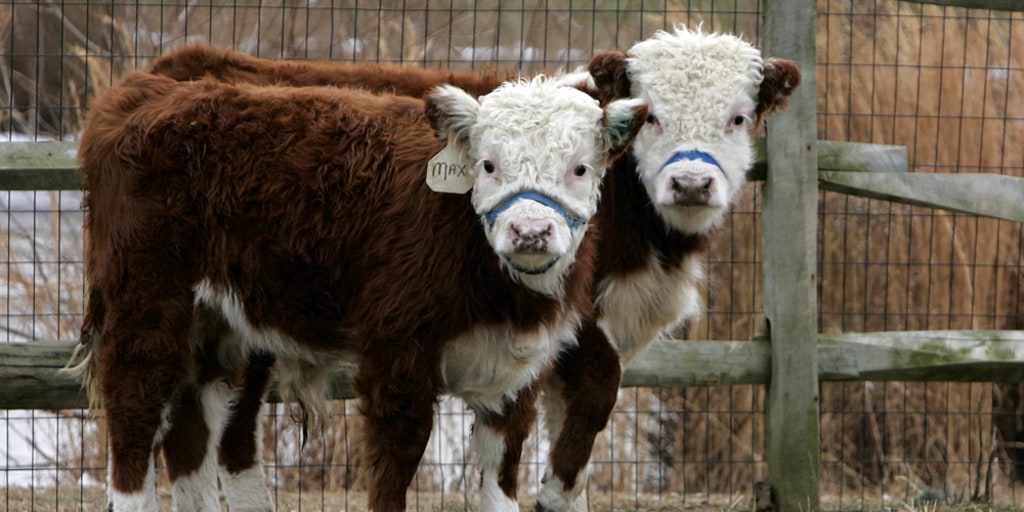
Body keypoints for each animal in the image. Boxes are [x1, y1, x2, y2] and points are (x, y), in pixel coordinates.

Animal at [69, 71, 646, 511]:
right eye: (488, 164)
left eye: (580, 168)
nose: (530, 232)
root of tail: (147, 90)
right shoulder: (397, 354)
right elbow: (396, 465)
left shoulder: (517, 372)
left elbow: (501, 478)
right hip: (145, 303)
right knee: (136, 410)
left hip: (222, 326)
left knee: (200, 427)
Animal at [138, 25, 802, 511]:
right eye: (655, 116)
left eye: (738, 118)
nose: (691, 183)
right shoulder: (577, 321)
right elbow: (597, 394)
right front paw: (551, 494)